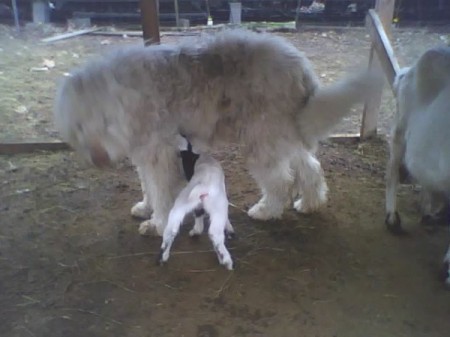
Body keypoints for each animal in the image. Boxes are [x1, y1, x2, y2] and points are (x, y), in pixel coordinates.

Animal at [55, 28, 380, 235]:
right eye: (80, 125)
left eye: (107, 121)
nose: (98, 158)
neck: (134, 94)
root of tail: (301, 66)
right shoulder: (146, 153)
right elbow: (148, 186)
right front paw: (146, 208)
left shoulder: (159, 154)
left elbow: (160, 191)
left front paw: (157, 224)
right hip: (283, 135)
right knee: (309, 168)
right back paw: (310, 204)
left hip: (262, 139)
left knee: (281, 180)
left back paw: (267, 211)